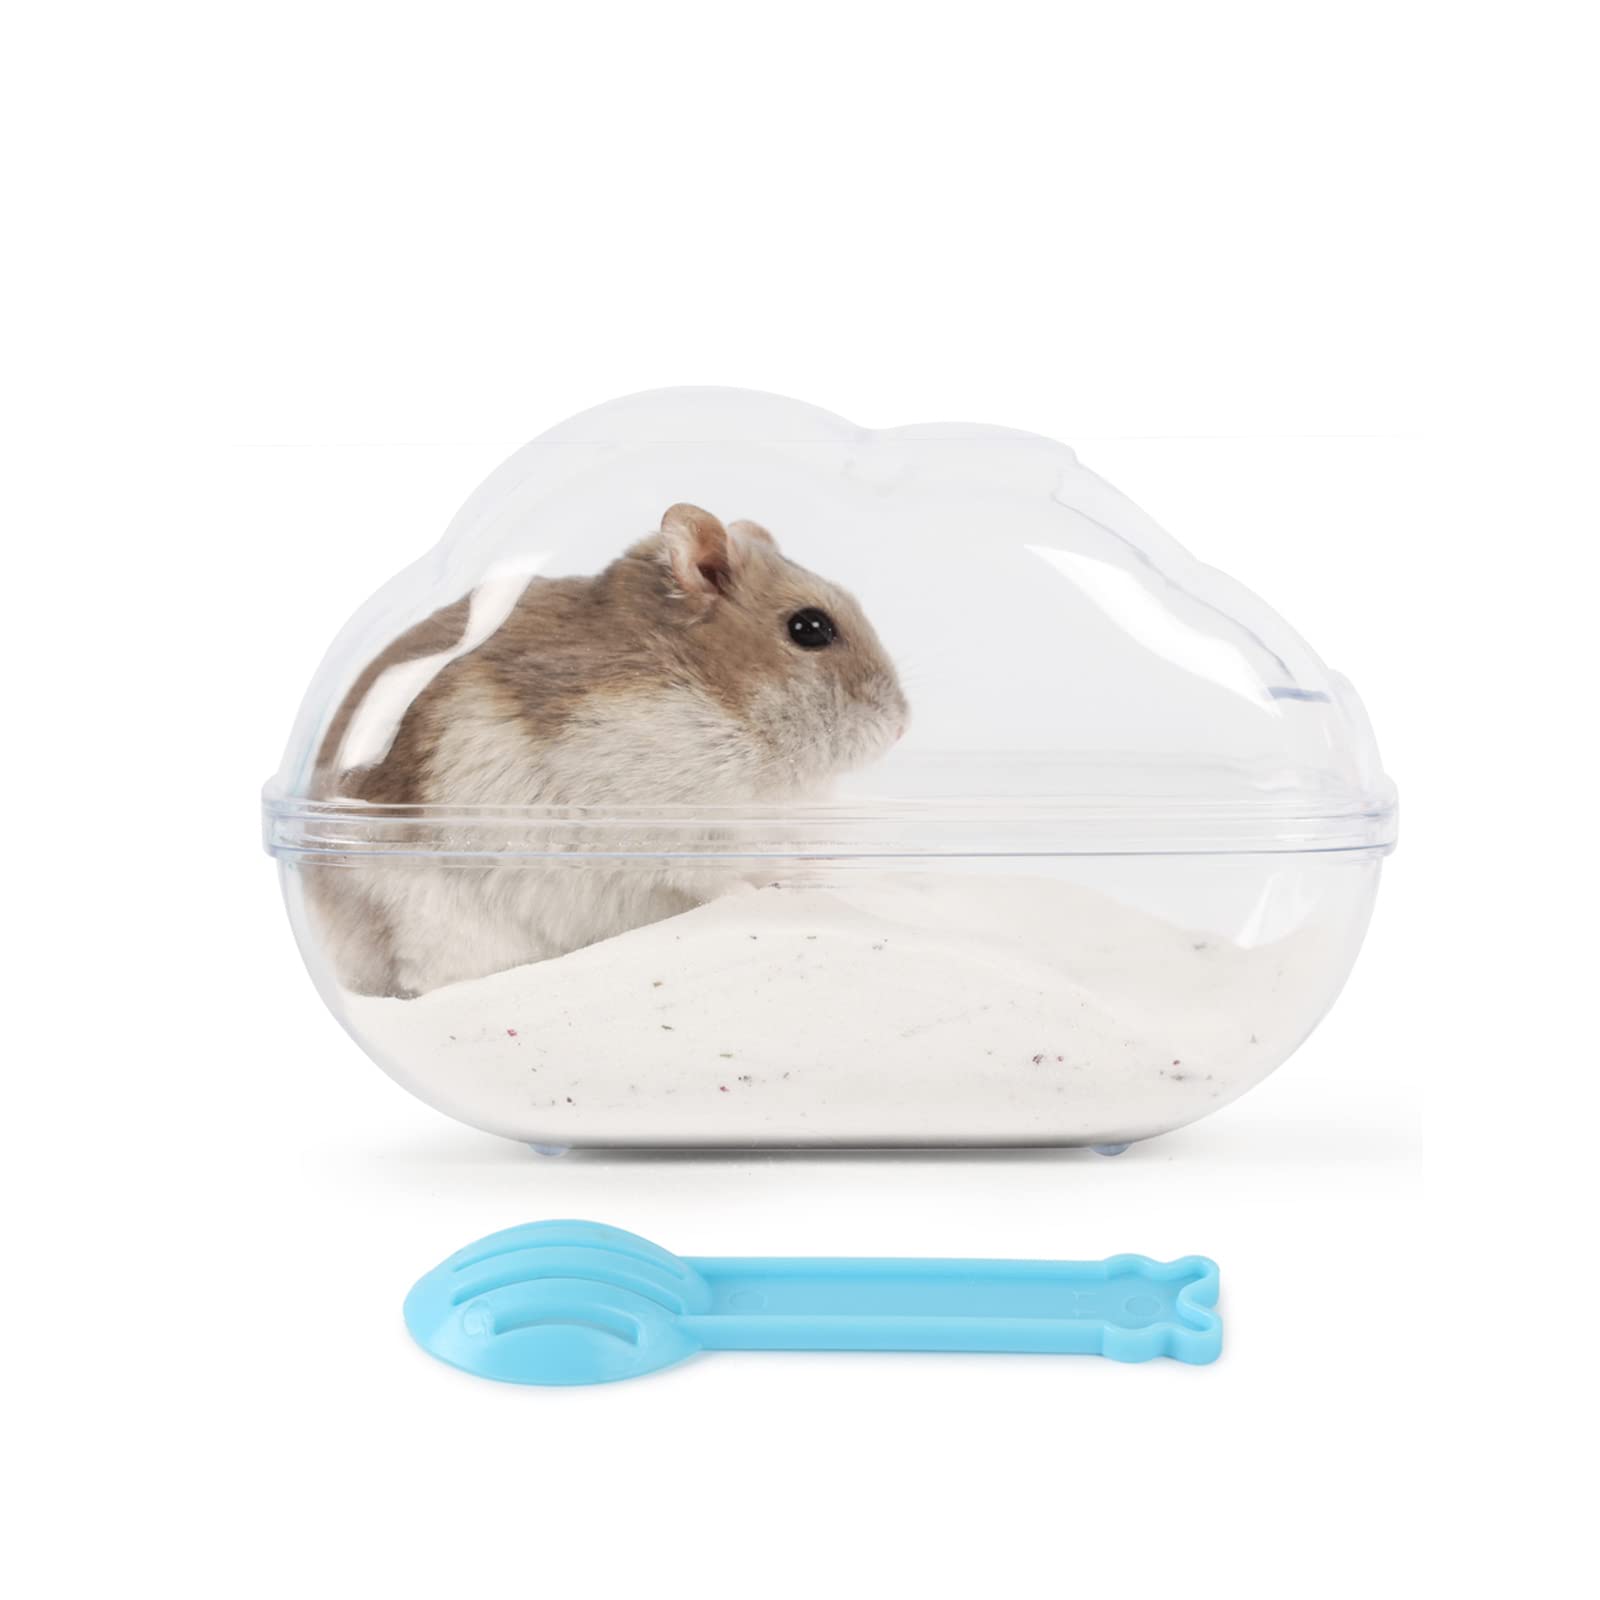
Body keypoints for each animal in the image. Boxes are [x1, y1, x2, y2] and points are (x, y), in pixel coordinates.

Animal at [306, 503, 909, 997]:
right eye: (810, 627)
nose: (902, 725)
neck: (729, 710)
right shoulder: (666, 827)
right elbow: (713, 876)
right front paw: (757, 894)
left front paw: (803, 880)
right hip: (433, 920)